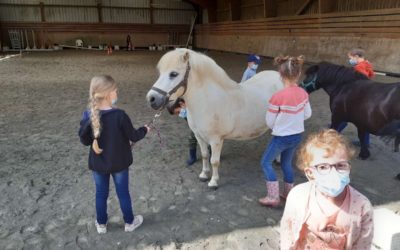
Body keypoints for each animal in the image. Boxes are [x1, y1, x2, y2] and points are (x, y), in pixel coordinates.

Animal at [145, 48, 282, 188]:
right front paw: (204, 175)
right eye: (160, 72)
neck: (209, 101)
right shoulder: (199, 136)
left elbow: (214, 161)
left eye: (173, 74)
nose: (151, 98)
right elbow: (205, 155)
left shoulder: (216, 140)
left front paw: (213, 182)